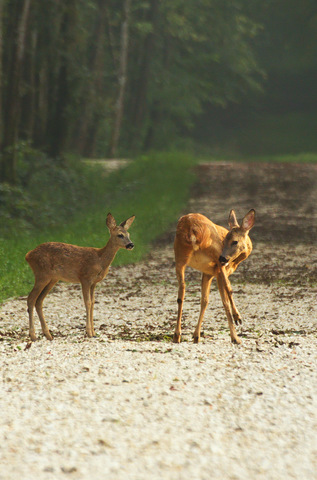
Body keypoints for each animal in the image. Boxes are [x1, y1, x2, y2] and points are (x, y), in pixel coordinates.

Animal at [25, 214, 135, 342]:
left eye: (128, 234)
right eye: (120, 235)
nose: (131, 245)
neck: (100, 260)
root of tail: (28, 255)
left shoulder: (94, 283)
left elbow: (93, 302)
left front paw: (94, 332)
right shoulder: (85, 278)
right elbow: (87, 302)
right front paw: (89, 333)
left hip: (52, 279)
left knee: (39, 301)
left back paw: (48, 335)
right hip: (42, 274)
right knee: (31, 298)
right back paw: (33, 336)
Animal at [173, 208, 254, 344]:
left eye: (234, 242)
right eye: (225, 241)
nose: (224, 258)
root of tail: (192, 230)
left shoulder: (207, 273)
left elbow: (204, 300)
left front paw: (196, 336)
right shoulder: (218, 271)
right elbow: (225, 296)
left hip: (179, 257)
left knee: (181, 293)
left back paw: (177, 335)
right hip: (216, 258)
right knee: (228, 291)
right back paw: (236, 334)